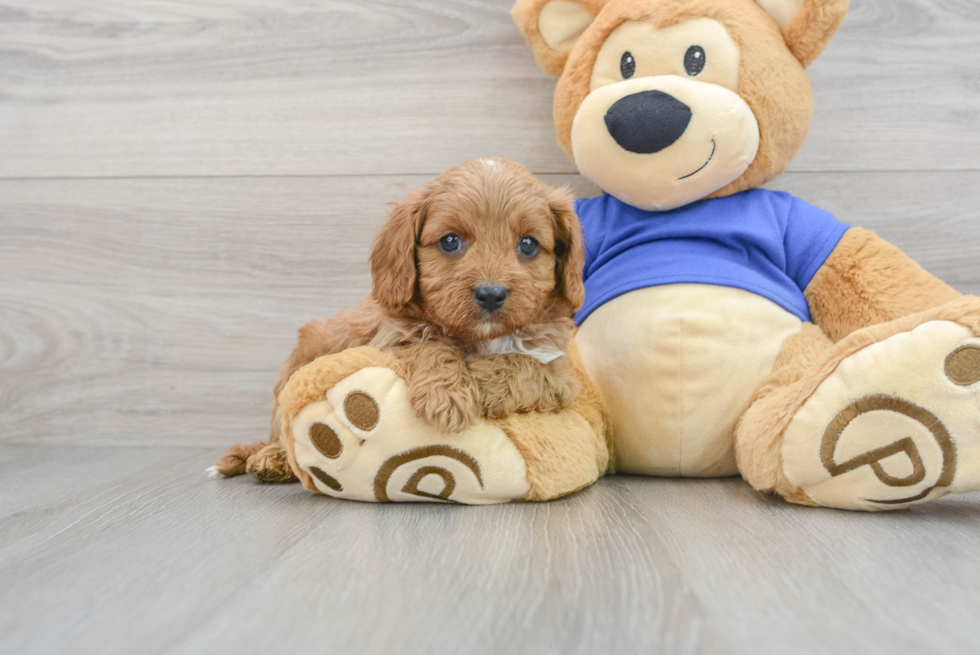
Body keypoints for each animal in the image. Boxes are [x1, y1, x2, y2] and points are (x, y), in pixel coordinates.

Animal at [218, 156, 584, 480]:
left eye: (528, 244)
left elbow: (528, 367)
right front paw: (447, 395)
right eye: (450, 241)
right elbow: (429, 347)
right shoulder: (389, 341)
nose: (491, 293)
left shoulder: (561, 374)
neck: (480, 338)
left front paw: (482, 380)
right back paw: (273, 457)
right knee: (283, 429)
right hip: (295, 368)